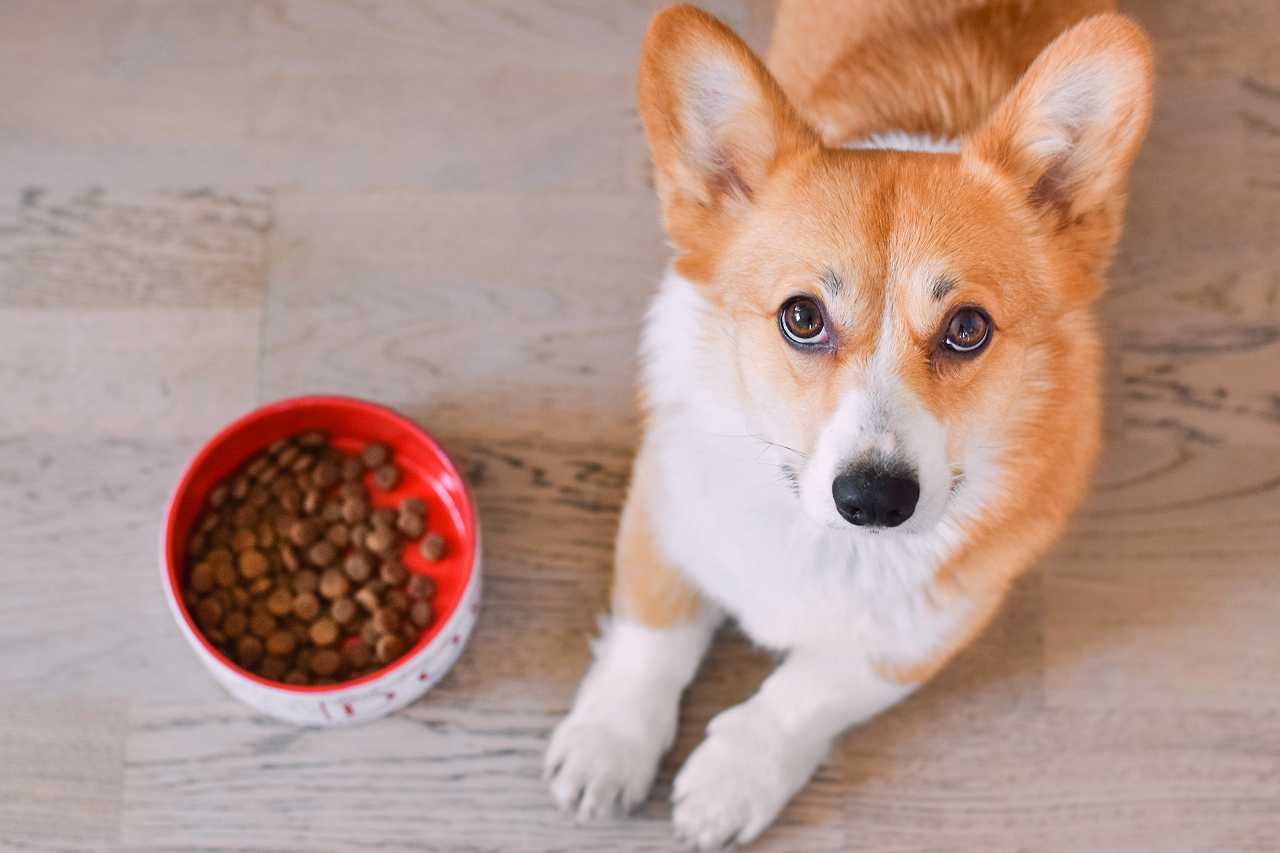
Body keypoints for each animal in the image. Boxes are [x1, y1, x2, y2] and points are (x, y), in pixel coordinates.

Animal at [545, 1, 1157, 845]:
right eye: (802, 317)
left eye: (968, 328)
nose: (874, 500)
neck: (828, 545)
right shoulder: (664, 504)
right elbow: (652, 633)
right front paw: (608, 746)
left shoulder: (924, 631)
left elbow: (806, 692)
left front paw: (733, 780)